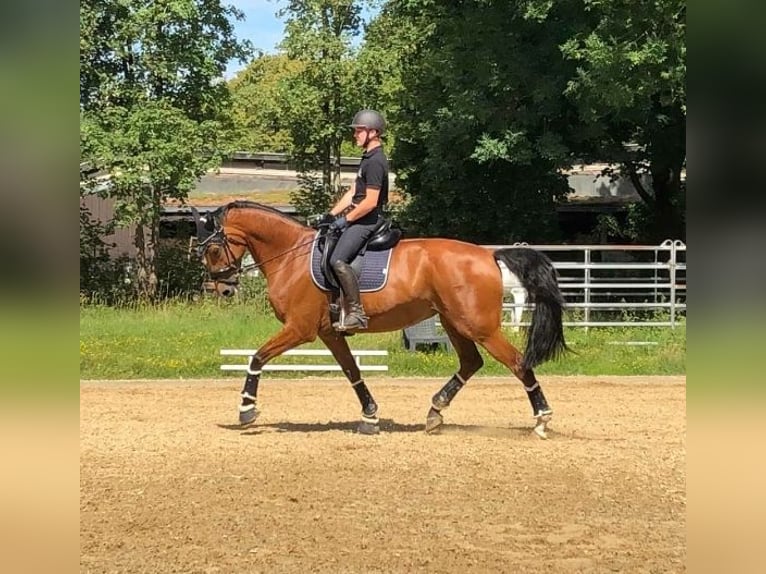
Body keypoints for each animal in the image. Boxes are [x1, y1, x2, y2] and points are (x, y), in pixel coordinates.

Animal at [192, 200, 568, 438]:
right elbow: (352, 372)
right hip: (454, 323)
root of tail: (488, 255)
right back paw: (435, 412)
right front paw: (370, 416)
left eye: (213, 248)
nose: (222, 289)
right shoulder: (329, 333)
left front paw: (246, 409)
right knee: (471, 363)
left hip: (479, 327)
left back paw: (542, 420)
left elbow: (257, 357)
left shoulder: (299, 329)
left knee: (518, 363)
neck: (291, 257)